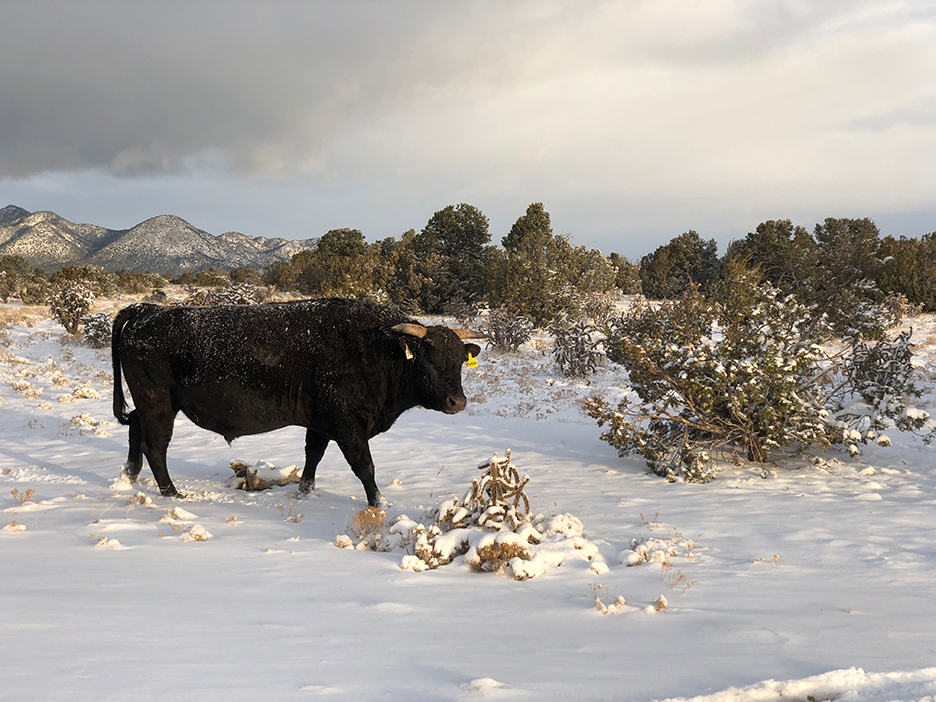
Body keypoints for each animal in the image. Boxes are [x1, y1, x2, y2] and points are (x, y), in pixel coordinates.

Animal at [109, 296, 482, 506]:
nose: (457, 402)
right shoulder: (348, 426)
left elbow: (312, 459)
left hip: (150, 405)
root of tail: (147, 311)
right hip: (159, 405)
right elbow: (365, 467)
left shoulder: (320, 424)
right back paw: (171, 492)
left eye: (459, 361)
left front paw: (305, 493)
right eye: (429, 360)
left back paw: (129, 476)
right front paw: (380, 504)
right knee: (155, 447)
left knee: (135, 430)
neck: (376, 348)